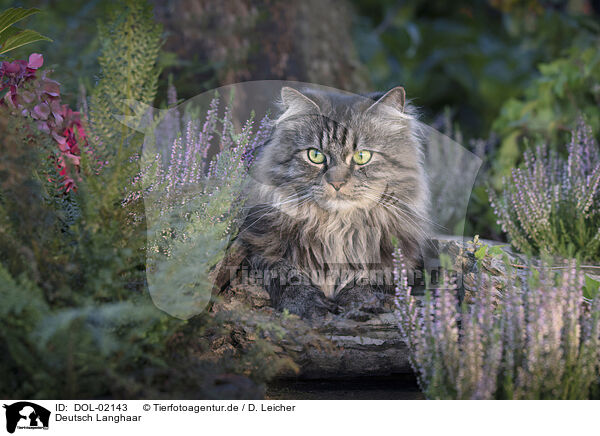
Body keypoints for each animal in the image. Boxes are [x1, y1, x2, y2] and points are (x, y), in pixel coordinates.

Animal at [237, 86, 428, 316]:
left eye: (362, 156)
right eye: (315, 155)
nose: (337, 183)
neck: (336, 227)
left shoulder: (393, 260)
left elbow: (365, 278)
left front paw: (359, 303)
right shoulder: (260, 250)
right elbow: (288, 275)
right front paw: (308, 304)